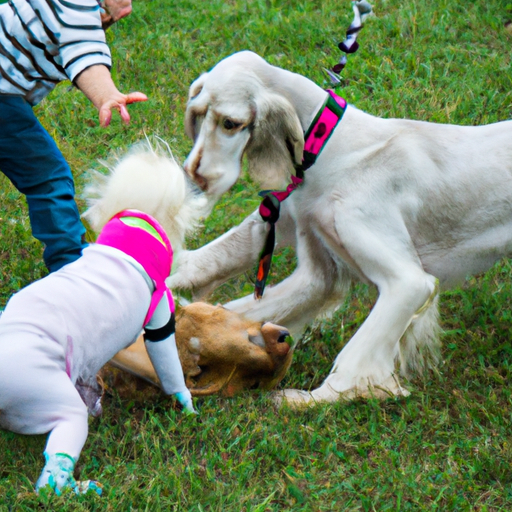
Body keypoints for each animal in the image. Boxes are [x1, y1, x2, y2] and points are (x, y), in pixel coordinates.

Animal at [168, 51, 512, 408]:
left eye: (230, 123)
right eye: (197, 114)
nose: (193, 177)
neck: (330, 151)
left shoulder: (407, 282)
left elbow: (357, 359)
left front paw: (313, 398)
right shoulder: (315, 265)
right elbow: (221, 284)